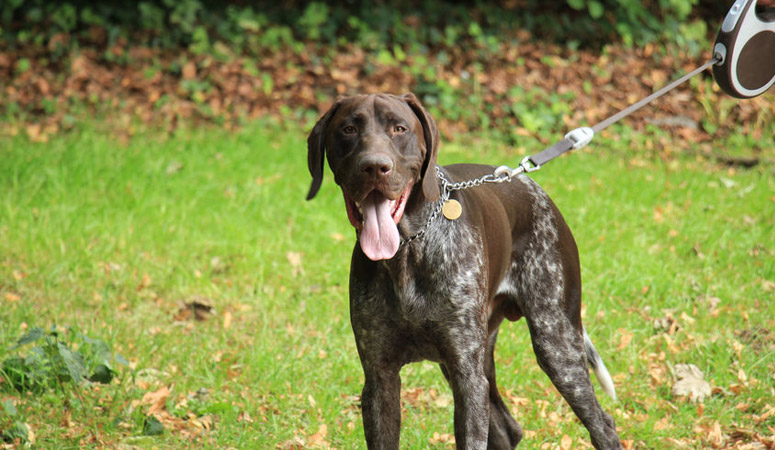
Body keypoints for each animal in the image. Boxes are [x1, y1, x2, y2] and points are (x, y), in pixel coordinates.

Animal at [306, 93, 620, 448]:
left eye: (399, 128)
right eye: (348, 129)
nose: (374, 166)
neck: (408, 250)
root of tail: (531, 185)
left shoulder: (467, 377)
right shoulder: (380, 378)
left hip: (556, 344)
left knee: (602, 425)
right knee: (508, 428)